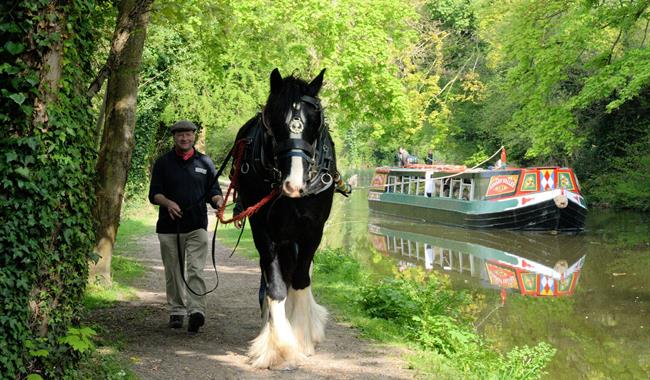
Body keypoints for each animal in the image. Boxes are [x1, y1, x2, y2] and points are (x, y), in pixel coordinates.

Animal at [232, 68, 334, 368]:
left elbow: (301, 278)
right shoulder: (263, 230)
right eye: (275, 119)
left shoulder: (313, 230)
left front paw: (302, 337)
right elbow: (276, 286)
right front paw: (279, 348)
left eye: (315, 121)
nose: (293, 184)